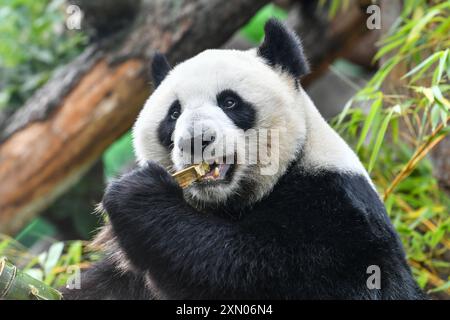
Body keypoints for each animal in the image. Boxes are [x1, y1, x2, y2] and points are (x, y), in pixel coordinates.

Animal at [62, 20, 426, 300]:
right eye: (174, 113)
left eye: (230, 102)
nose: (194, 140)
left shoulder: (339, 212)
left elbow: (261, 271)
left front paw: (136, 195)